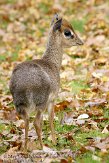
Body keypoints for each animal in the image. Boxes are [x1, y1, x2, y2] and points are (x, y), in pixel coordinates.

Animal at [9, 14, 83, 152]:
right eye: (67, 32)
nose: (80, 42)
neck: (52, 63)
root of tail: (24, 85)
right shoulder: (52, 100)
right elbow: (51, 119)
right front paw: (54, 141)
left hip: (20, 106)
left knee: (27, 122)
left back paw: (25, 149)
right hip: (40, 104)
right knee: (36, 122)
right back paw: (43, 147)